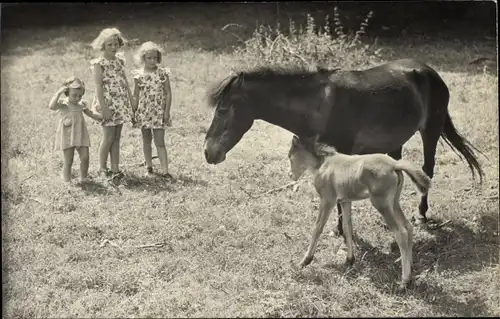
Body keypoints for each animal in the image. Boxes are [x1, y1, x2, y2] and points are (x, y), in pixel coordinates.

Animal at [203, 59, 484, 235]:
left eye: (223, 109)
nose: (208, 152)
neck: (319, 105)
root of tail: (430, 72)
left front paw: (340, 230)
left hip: (430, 131)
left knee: (427, 170)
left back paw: (422, 214)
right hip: (396, 143)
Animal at [288, 135, 432, 290]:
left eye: (290, 156)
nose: (290, 175)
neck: (323, 163)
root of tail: (395, 164)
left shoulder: (327, 200)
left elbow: (317, 228)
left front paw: (305, 261)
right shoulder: (345, 201)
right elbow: (347, 228)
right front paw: (349, 260)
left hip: (381, 204)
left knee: (401, 232)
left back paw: (404, 281)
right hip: (393, 202)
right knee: (408, 226)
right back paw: (410, 268)